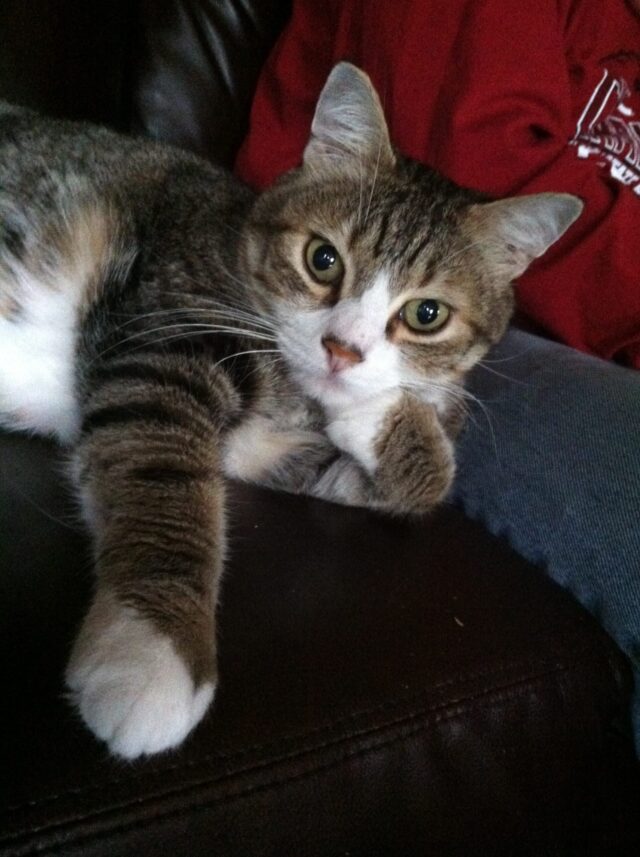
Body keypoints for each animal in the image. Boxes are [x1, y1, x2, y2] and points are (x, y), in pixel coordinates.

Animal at [0, 61, 580, 756]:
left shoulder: (280, 455)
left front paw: (384, 418)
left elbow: (416, 485)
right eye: (322, 258)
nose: (342, 349)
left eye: (426, 314)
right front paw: (151, 654)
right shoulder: (164, 330)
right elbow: (161, 473)